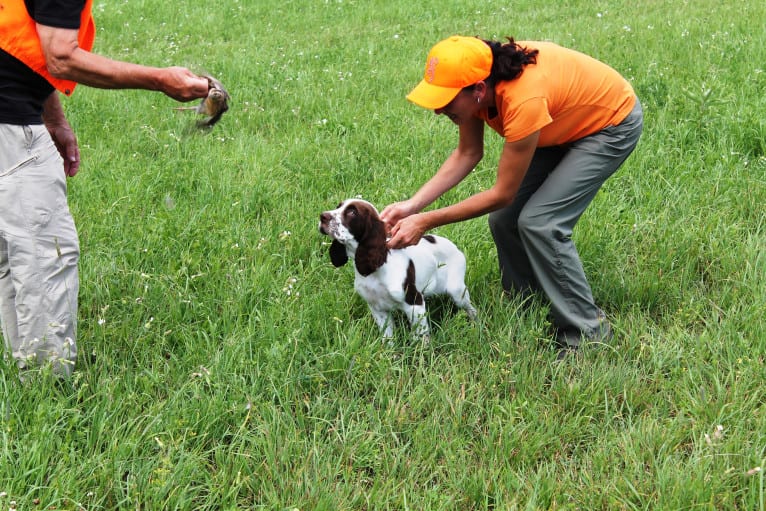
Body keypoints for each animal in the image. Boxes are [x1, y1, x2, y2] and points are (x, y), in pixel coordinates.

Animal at [320, 199, 476, 340]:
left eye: (352, 212)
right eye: (338, 206)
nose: (322, 216)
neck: (377, 271)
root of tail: (454, 246)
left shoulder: (414, 303)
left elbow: (419, 338)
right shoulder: (377, 308)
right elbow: (388, 338)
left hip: (457, 291)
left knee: (471, 309)